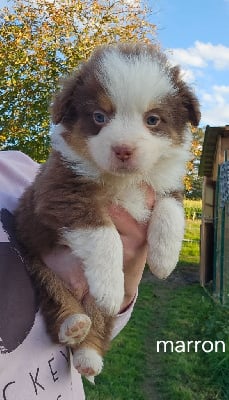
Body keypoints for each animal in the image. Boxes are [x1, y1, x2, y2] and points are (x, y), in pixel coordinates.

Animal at [14, 42, 200, 382]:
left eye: (153, 120)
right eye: (99, 116)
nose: (123, 150)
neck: (123, 180)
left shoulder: (165, 182)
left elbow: (171, 210)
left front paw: (164, 260)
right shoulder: (60, 191)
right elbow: (105, 236)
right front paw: (111, 287)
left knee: (99, 320)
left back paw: (88, 354)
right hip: (36, 262)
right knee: (56, 300)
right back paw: (73, 324)